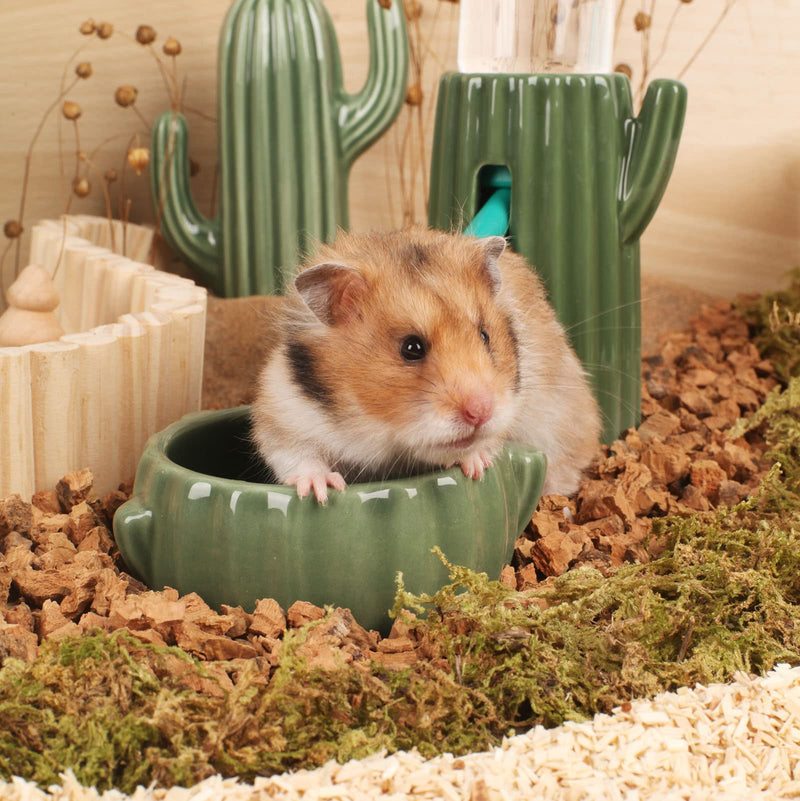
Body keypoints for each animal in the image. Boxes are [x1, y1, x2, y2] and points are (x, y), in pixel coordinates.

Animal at [250, 227, 601, 503]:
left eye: (485, 335)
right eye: (411, 348)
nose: (481, 412)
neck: (377, 427)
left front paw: (477, 465)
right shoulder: (283, 411)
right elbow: (295, 455)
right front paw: (321, 491)